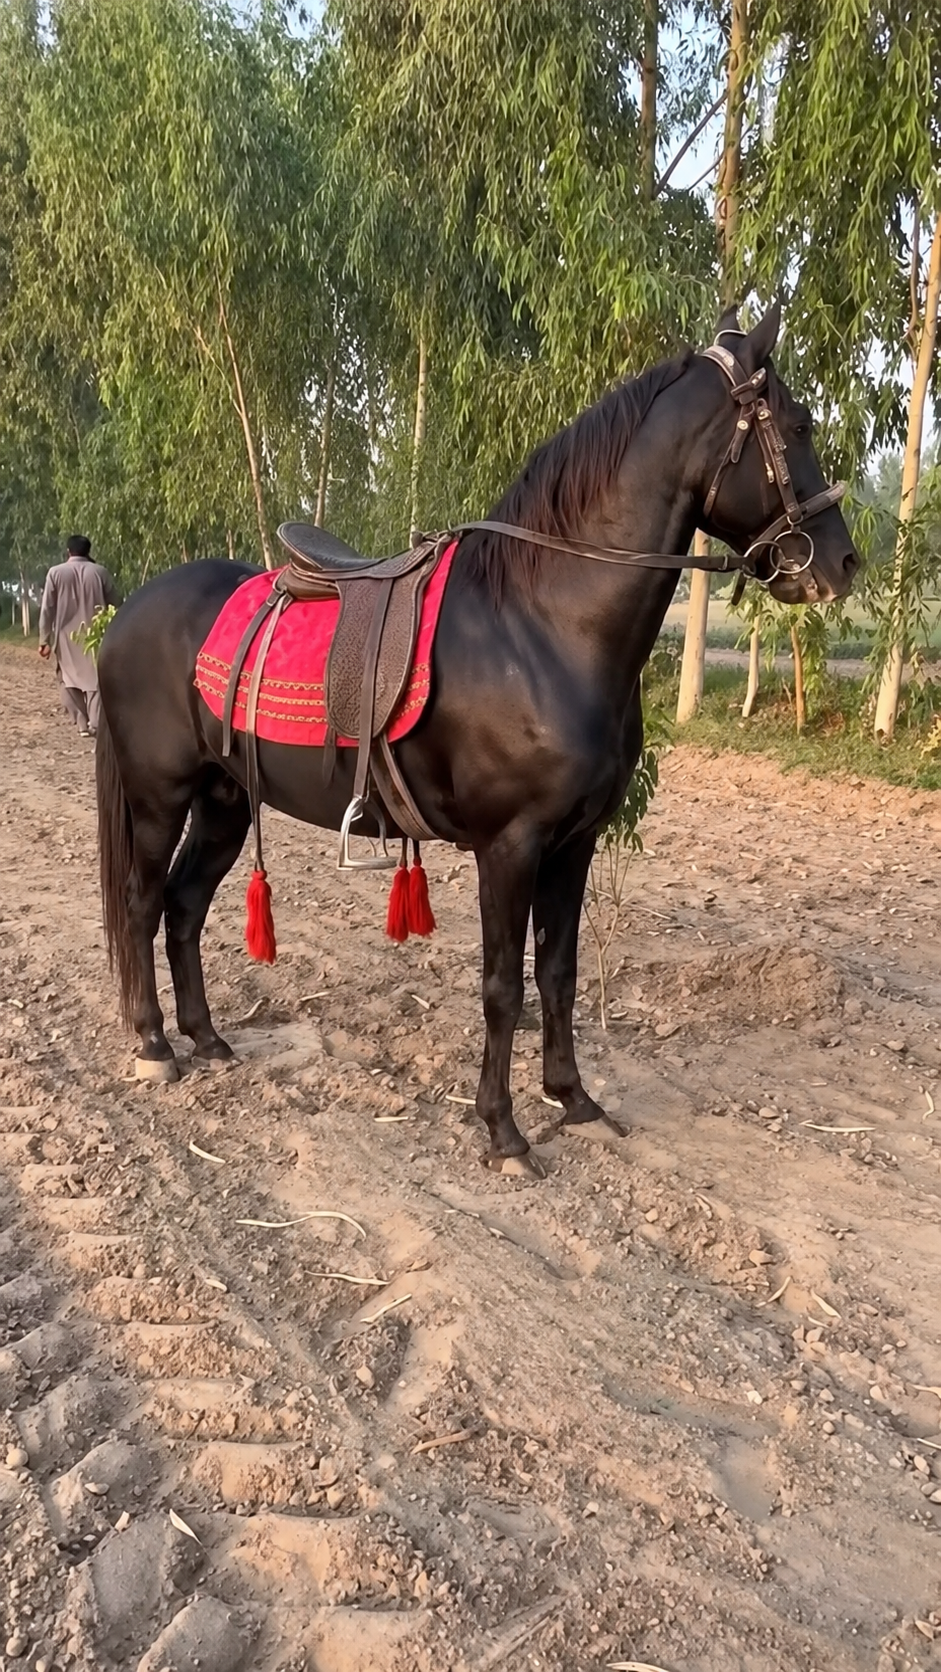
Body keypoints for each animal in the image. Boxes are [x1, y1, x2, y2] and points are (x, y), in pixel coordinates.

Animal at [95, 304, 858, 1177]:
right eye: (796, 425)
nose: (840, 561)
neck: (543, 626)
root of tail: (131, 608)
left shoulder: (573, 843)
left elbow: (557, 973)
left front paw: (573, 1099)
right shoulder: (510, 844)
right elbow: (502, 987)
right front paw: (502, 1131)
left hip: (225, 800)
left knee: (184, 904)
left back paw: (208, 1038)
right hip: (158, 796)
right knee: (142, 901)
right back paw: (154, 1045)